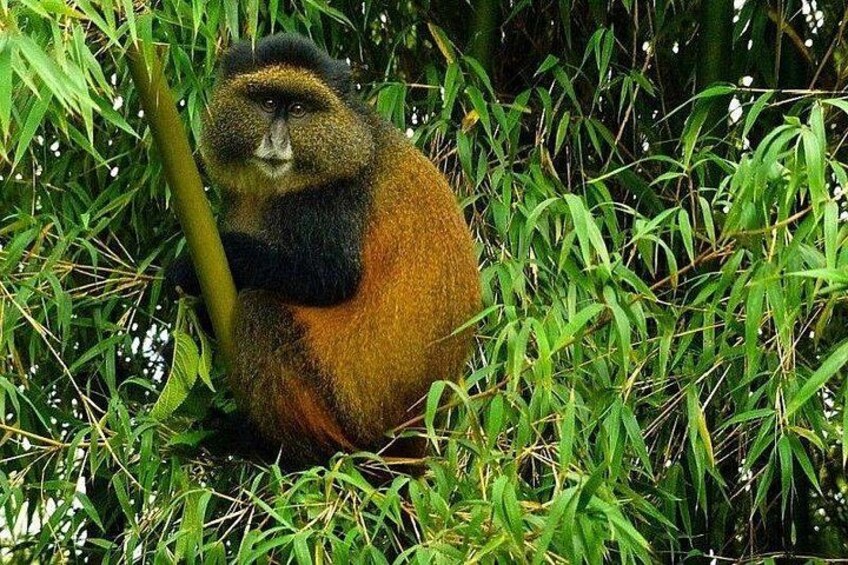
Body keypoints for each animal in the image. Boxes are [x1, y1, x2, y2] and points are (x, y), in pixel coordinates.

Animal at [167, 33, 481, 469]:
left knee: (260, 312)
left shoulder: (336, 196)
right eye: (268, 102)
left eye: (299, 109)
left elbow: (330, 278)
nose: (277, 141)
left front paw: (192, 266)